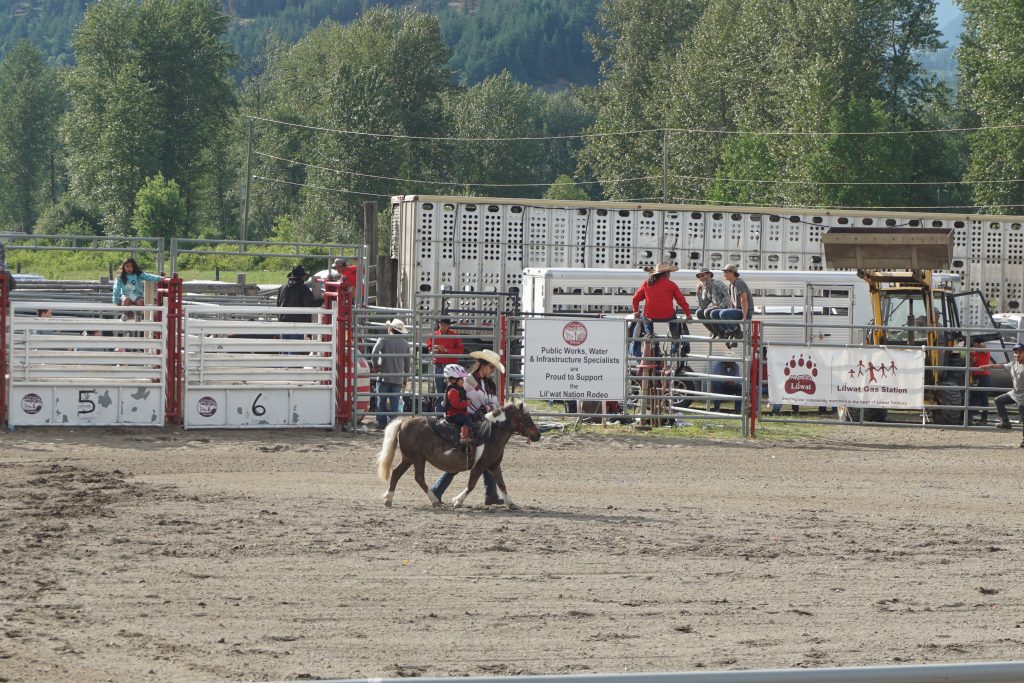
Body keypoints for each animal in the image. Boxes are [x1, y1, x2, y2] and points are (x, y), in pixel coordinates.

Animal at [372, 401, 540, 507]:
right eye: (525, 417)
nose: (538, 435)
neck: (491, 433)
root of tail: (403, 423)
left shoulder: (494, 466)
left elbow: (502, 484)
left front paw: (510, 503)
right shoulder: (480, 466)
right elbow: (471, 484)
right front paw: (458, 501)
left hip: (408, 459)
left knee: (396, 473)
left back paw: (389, 499)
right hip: (418, 459)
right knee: (419, 478)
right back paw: (434, 501)